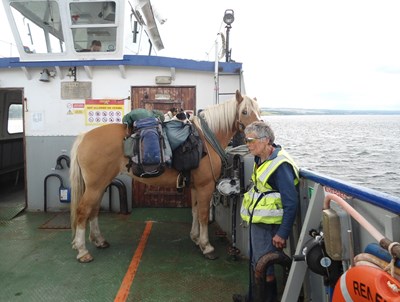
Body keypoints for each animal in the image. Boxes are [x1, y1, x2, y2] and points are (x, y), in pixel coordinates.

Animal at [70, 89, 260, 262]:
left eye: (259, 110)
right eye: (244, 111)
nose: (258, 132)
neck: (207, 140)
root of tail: (84, 137)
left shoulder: (195, 187)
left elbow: (195, 211)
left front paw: (196, 238)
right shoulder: (205, 186)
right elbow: (204, 215)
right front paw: (206, 246)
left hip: (100, 184)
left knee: (93, 210)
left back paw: (99, 240)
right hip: (95, 185)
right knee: (83, 211)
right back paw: (82, 250)